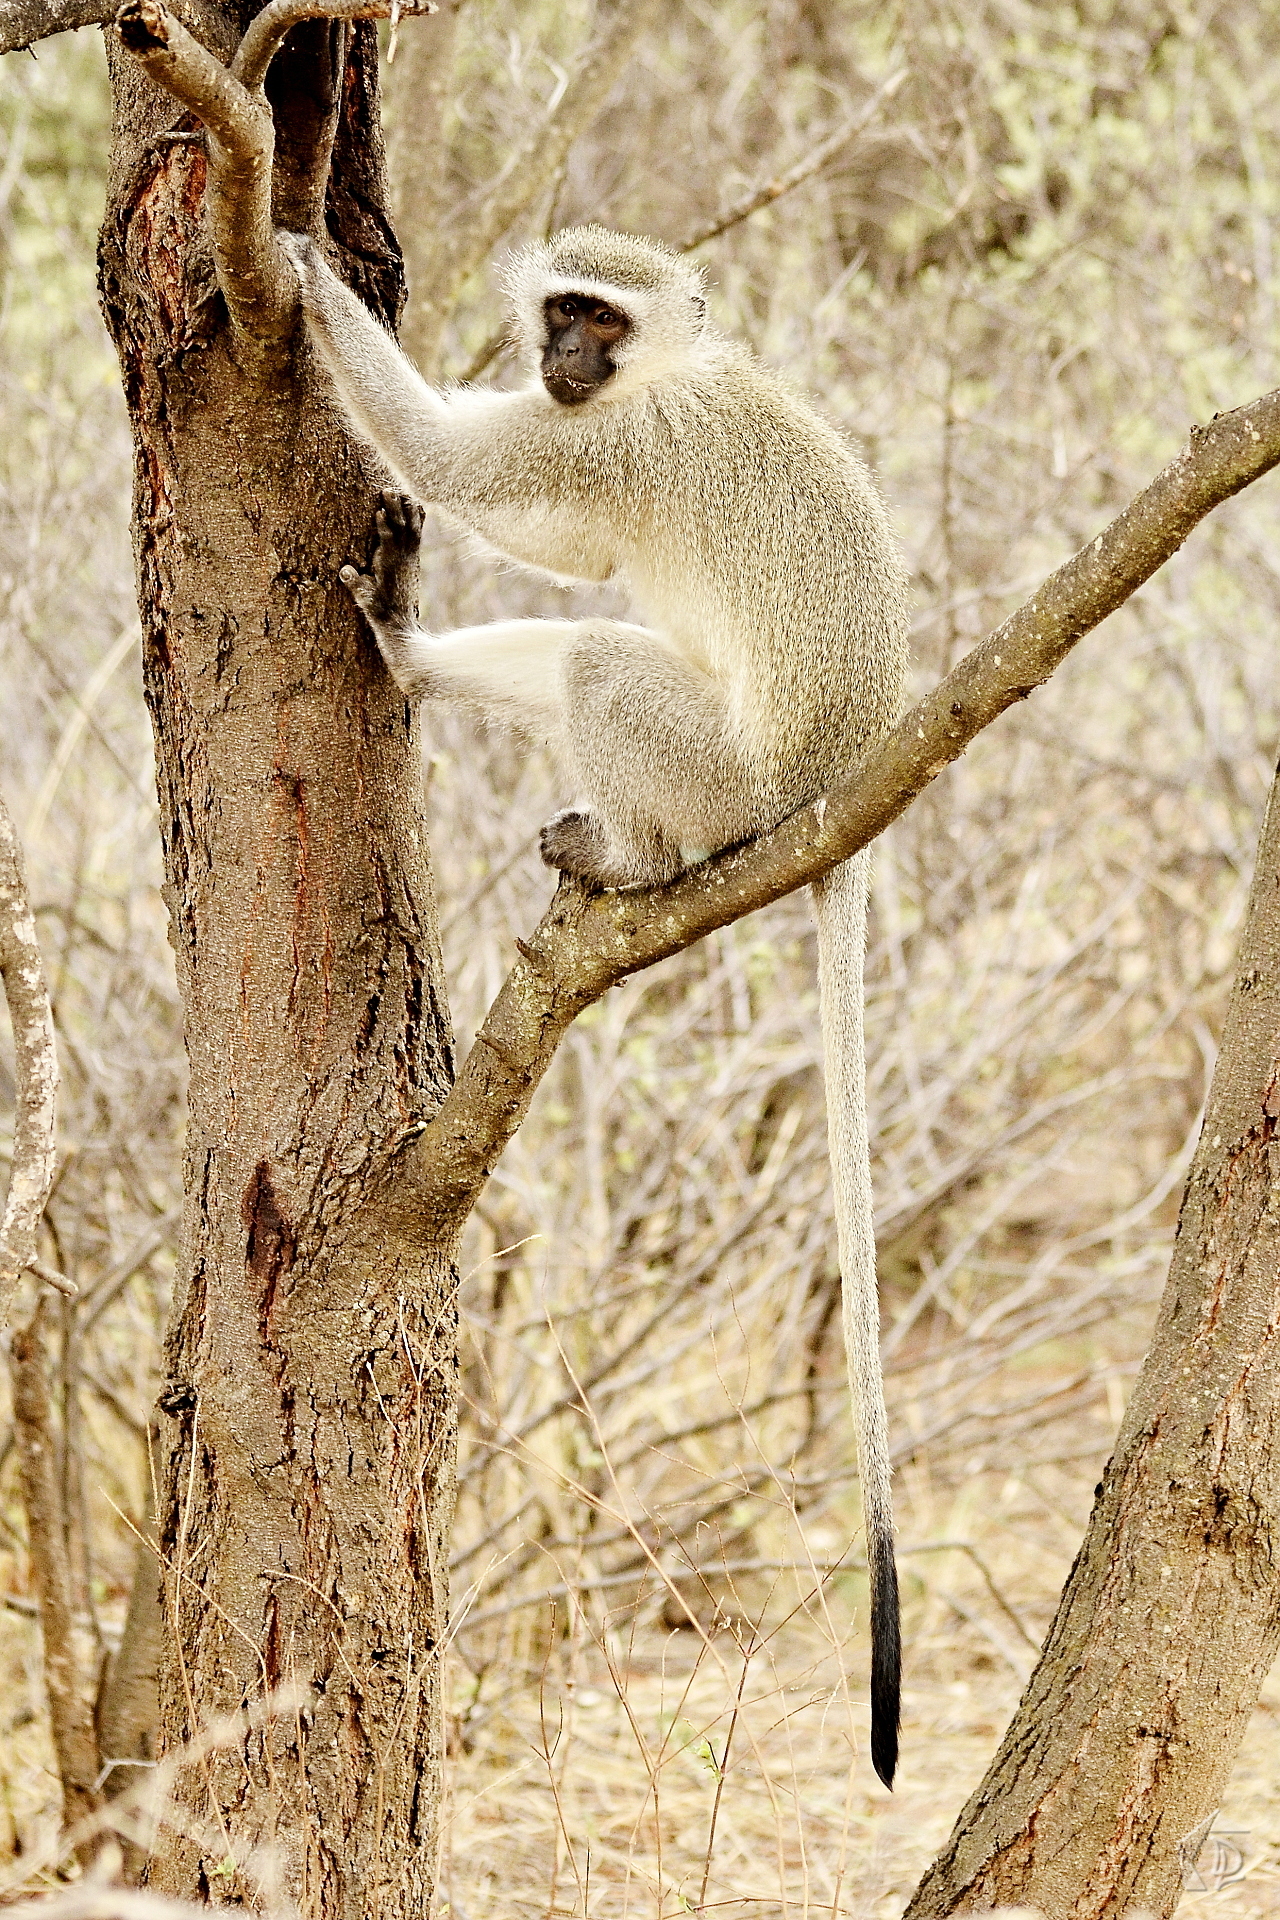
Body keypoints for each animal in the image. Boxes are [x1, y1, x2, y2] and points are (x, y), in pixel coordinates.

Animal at [283, 224, 911, 1787]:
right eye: (560, 311)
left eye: (599, 321)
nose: (562, 357)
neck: (663, 376)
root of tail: (846, 800)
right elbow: (559, 541)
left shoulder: (616, 438)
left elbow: (465, 467)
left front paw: (287, 237)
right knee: (580, 634)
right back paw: (413, 658)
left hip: (723, 779)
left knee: (601, 665)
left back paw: (632, 856)